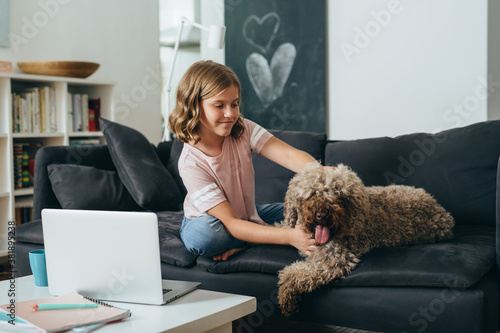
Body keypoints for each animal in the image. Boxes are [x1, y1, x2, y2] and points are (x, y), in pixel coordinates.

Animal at [280, 162, 456, 316]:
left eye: (338, 195)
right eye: (312, 193)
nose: (322, 215)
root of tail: (442, 212)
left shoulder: (335, 261)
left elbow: (294, 274)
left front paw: (286, 297)